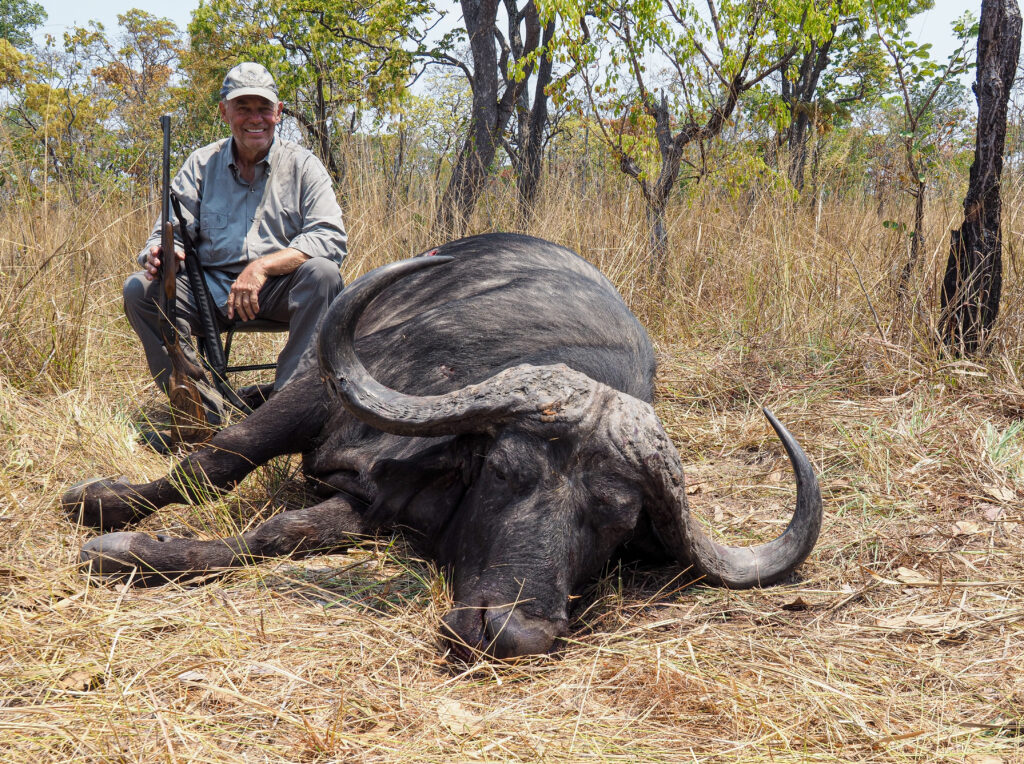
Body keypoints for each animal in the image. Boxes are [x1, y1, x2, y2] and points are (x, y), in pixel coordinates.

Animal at [63, 233, 822, 660]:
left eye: (616, 521)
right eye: (506, 472)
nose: (511, 632)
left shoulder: (371, 505)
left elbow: (284, 532)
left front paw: (140, 551)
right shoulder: (315, 397)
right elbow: (218, 462)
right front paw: (104, 510)